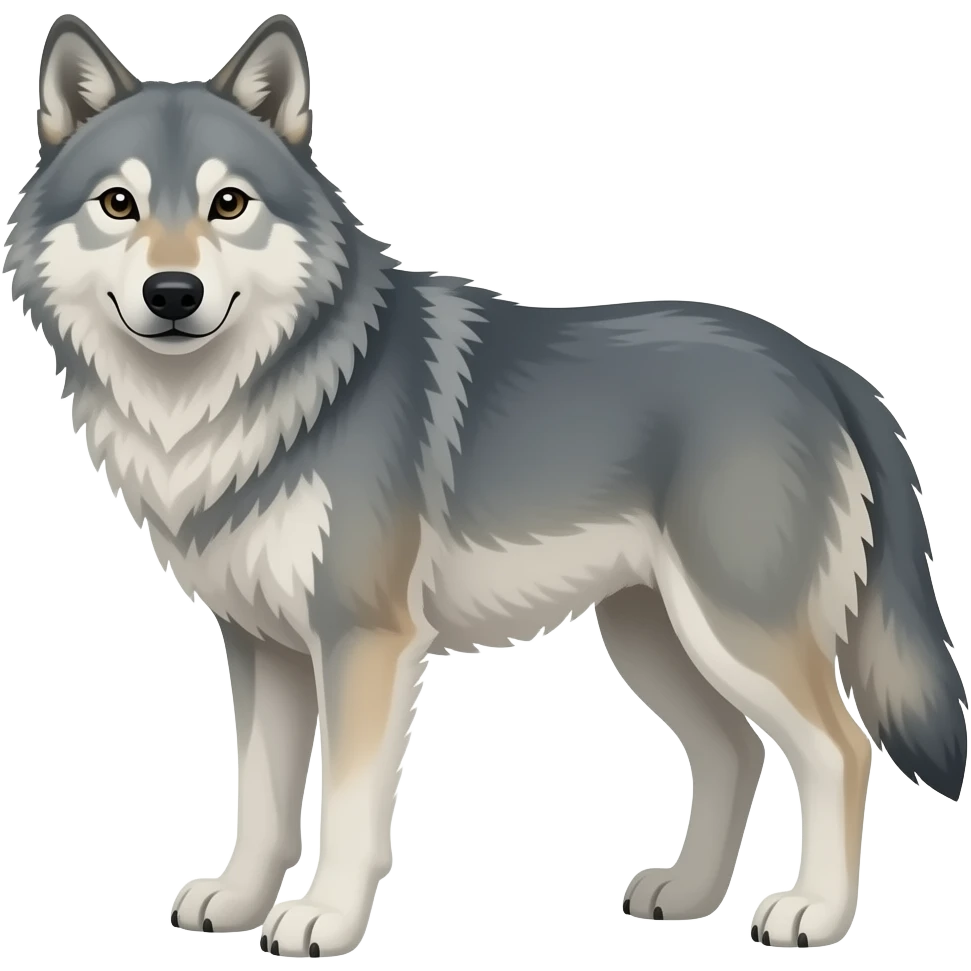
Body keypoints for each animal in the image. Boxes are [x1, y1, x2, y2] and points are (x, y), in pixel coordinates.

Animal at [3, 11, 966, 958]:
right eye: (119, 204)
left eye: (228, 203)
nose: (173, 292)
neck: (237, 406)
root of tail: (821, 365)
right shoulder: (262, 648)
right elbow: (261, 801)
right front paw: (239, 902)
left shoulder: (364, 642)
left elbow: (346, 806)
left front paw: (324, 919)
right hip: (654, 639)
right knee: (734, 750)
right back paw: (687, 894)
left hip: (734, 632)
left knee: (839, 748)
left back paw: (814, 913)